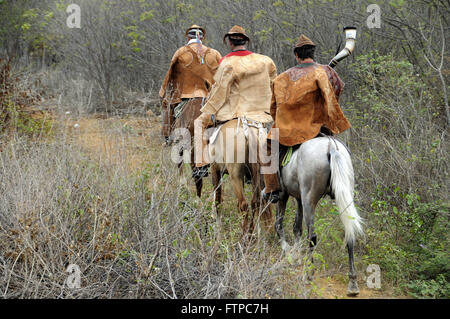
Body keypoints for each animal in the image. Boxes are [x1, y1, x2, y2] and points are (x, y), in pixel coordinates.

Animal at [274, 136, 366, 296]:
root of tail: (331, 146)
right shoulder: (298, 198)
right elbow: (297, 228)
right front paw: (296, 254)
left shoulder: (284, 195)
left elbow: (280, 225)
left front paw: (289, 254)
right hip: (344, 195)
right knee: (350, 234)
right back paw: (353, 283)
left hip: (309, 200)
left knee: (312, 237)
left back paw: (308, 274)